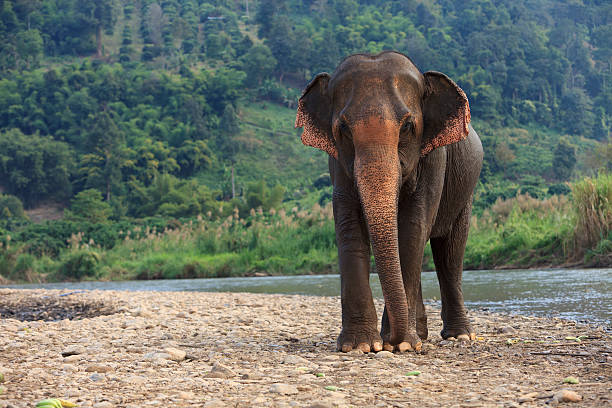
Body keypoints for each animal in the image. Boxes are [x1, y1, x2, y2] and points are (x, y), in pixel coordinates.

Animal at [296, 50, 482, 350]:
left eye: (407, 126)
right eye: (343, 129)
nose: (390, 338)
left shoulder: (434, 158)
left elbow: (412, 229)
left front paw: (401, 345)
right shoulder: (337, 162)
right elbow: (349, 225)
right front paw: (361, 345)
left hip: (465, 193)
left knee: (450, 253)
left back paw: (459, 335)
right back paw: (421, 334)